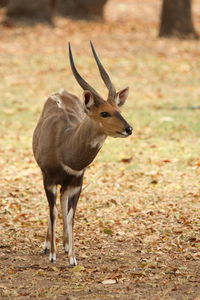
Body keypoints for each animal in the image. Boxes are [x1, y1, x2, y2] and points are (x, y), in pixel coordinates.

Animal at [32, 41, 133, 266]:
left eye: (119, 110)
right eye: (104, 112)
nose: (128, 129)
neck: (64, 146)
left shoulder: (77, 181)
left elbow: (71, 215)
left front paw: (72, 258)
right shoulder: (48, 179)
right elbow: (53, 211)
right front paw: (52, 255)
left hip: (67, 185)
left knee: (62, 203)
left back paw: (64, 245)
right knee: (53, 206)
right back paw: (48, 246)